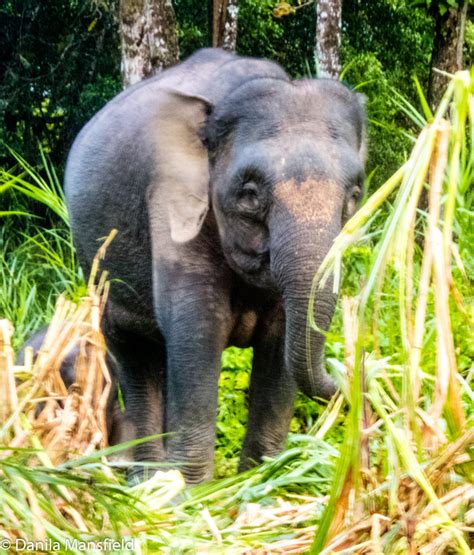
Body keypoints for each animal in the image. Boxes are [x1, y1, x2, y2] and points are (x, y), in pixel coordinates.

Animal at [64, 46, 366, 482]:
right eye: (250, 194)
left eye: (355, 193)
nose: (354, 373)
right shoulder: (170, 197)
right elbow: (199, 329)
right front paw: (194, 491)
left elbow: (279, 344)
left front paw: (262, 480)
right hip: (98, 269)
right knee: (135, 355)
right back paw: (148, 480)